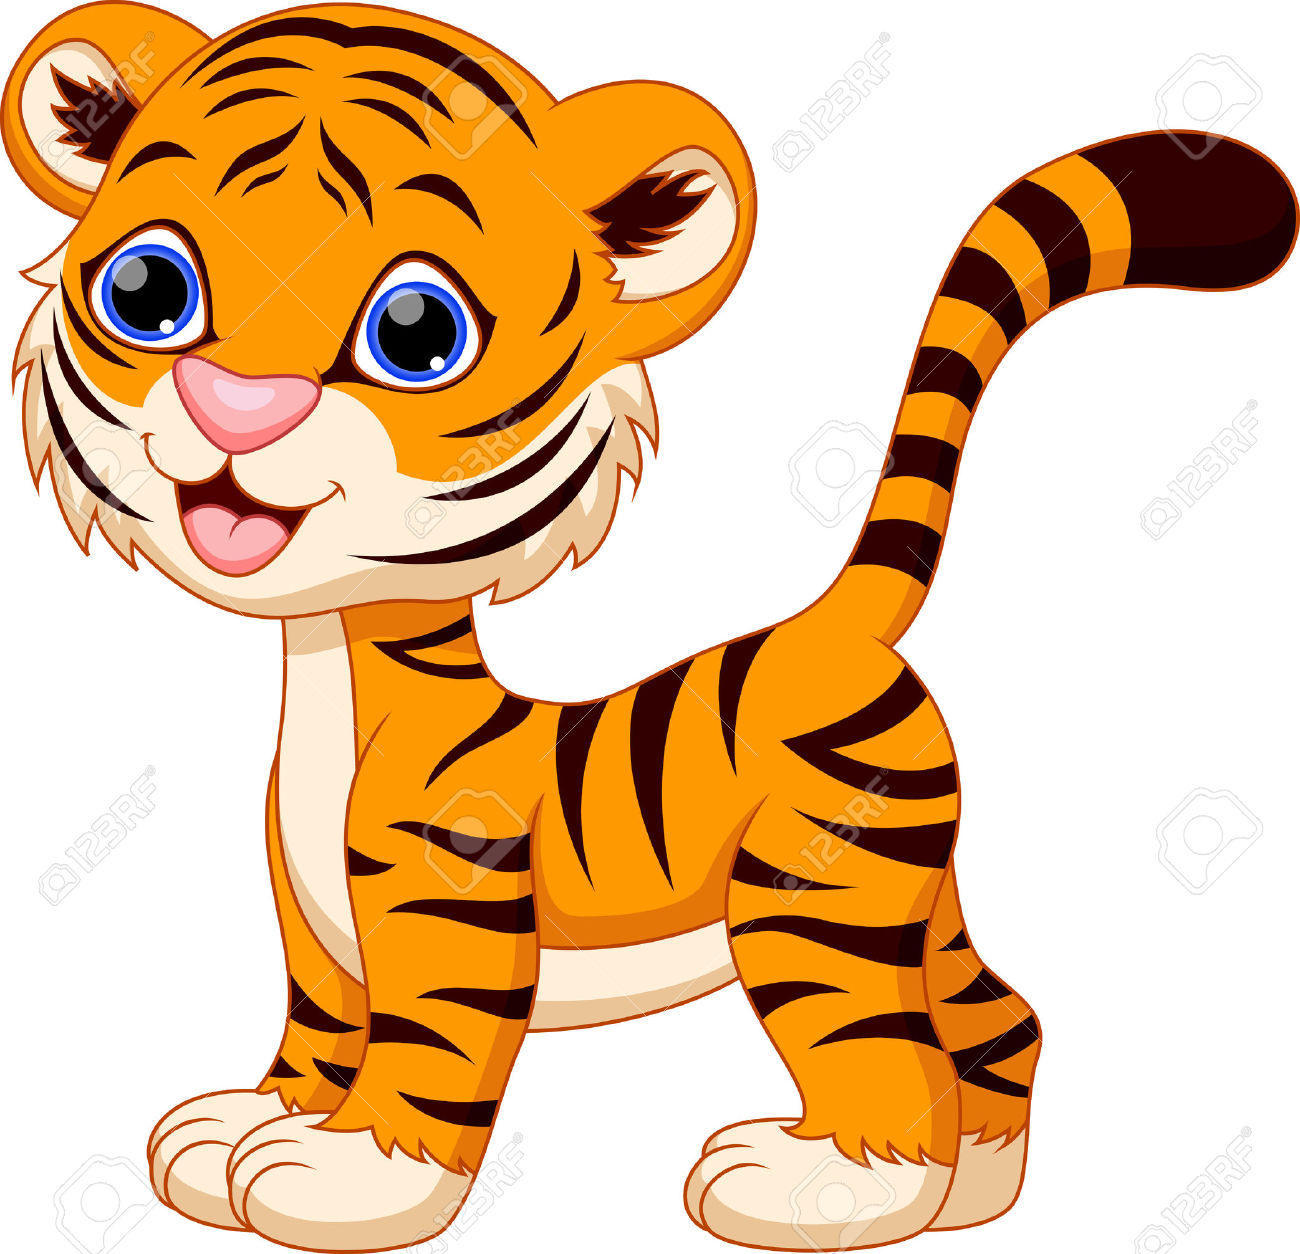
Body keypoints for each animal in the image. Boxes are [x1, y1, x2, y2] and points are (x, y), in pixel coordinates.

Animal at [3, 4, 1295, 1251]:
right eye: (149, 292)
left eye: (417, 333)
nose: (239, 411)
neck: (332, 673)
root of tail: (829, 625)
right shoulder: (314, 932)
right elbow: (319, 1032)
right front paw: (250, 1127)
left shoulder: (448, 908)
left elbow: (425, 1062)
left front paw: (343, 1181)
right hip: (916, 892)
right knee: (1001, 1012)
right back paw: (974, 1190)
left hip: (814, 892)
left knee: (882, 1051)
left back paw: (830, 1189)